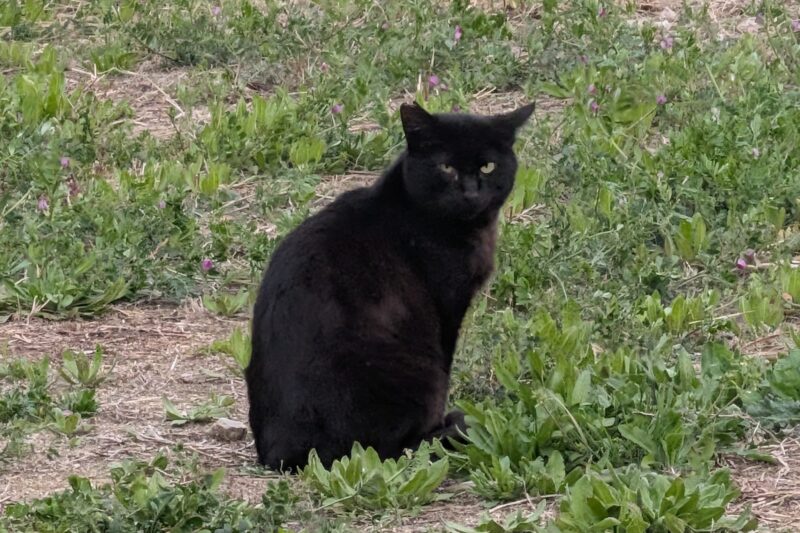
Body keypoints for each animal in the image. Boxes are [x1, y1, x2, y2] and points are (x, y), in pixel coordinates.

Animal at [246, 101, 534, 470]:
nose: (470, 192)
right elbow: (447, 364)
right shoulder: (447, 307)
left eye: (488, 166)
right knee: (387, 449)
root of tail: (279, 455)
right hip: (414, 373)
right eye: (446, 167)